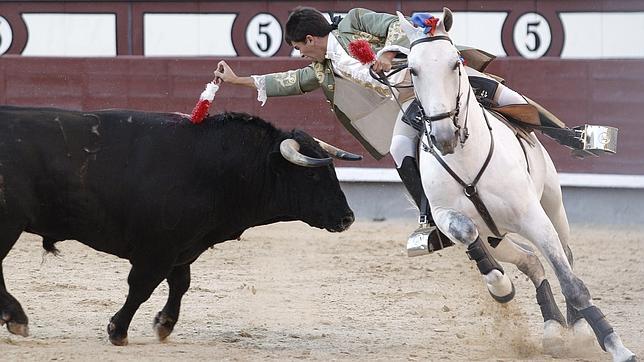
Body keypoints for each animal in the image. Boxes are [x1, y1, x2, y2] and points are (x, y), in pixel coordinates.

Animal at [0, 105, 358, 346]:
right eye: (312, 176)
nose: (347, 218)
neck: (217, 167)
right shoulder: (158, 247)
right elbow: (142, 286)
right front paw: (118, 330)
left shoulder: (182, 246)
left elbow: (180, 284)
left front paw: (164, 324)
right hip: (10, 224)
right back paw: (17, 318)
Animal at [400, 8, 636, 362]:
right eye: (413, 69)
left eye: (455, 63)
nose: (443, 136)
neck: (466, 159)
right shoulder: (444, 215)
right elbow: (467, 233)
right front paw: (500, 287)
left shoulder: (532, 216)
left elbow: (572, 283)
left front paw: (616, 346)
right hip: (497, 234)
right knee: (529, 260)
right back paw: (551, 327)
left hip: (553, 204)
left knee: (566, 255)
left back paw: (576, 326)